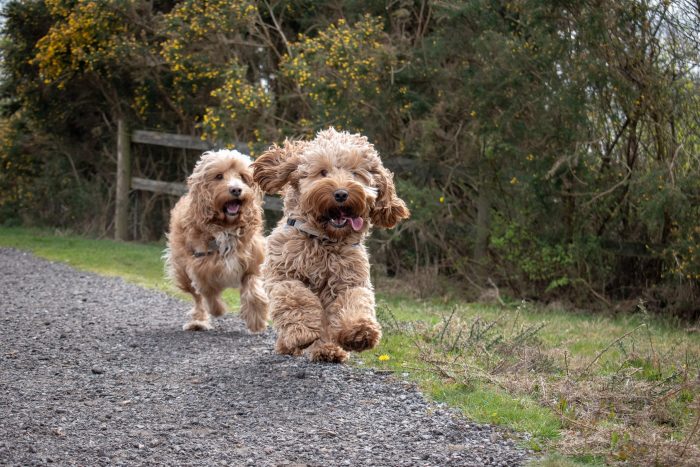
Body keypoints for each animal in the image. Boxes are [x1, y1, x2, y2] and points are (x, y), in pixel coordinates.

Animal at [165, 150, 270, 332]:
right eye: (219, 176)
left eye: (242, 176)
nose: (236, 189)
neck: (226, 227)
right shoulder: (200, 268)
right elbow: (208, 293)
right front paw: (218, 309)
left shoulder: (252, 262)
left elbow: (253, 288)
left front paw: (257, 319)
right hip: (182, 271)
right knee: (197, 298)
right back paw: (198, 321)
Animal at [253, 129, 410, 366]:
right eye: (322, 172)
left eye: (355, 173)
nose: (341, 193)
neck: (323, 240)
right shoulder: (283, 274)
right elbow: (296, 298)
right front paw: (302, 332)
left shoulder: (349, 279)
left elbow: (355, 300)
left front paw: (360, 332)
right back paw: (288, 345)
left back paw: (328, 349)